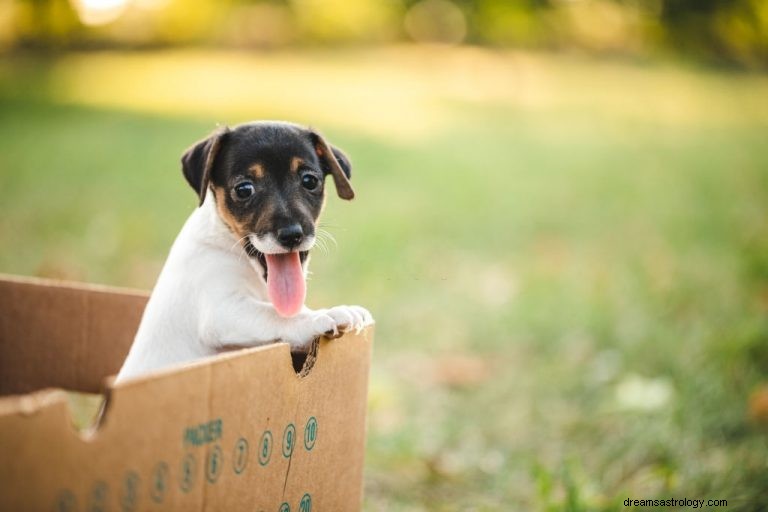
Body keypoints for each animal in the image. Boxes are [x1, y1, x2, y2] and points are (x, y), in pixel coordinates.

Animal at [115, 122, 374, 382]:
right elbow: (274, 314)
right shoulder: (220, 309)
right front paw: (326, 315)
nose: (292, 235)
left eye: (310, 181)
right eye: (244, 189)